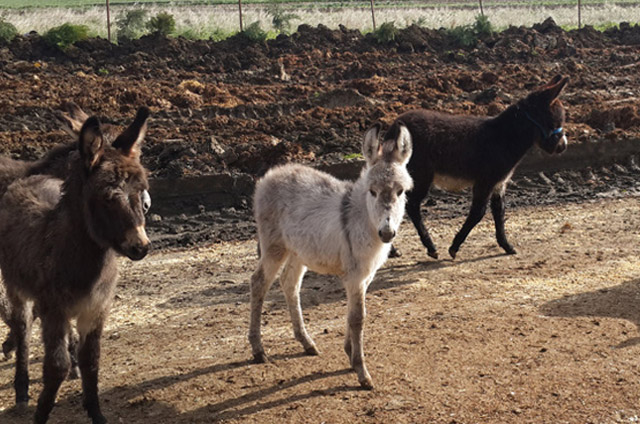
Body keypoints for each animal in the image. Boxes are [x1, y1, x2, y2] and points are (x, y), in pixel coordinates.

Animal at [248, 121, 412, 390]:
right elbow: (358, 318)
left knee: (289, 284)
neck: (363, 218)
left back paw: (306, 343)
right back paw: (258, 349)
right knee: (259, 282)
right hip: (274, 247)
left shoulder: (364, 277)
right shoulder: (355, 277)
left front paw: (350, 355)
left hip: (298, 252)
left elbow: (352, 314)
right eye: (372, 191)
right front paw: (361, 371)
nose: (387, 232)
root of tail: (271, 175)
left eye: (400, 191)